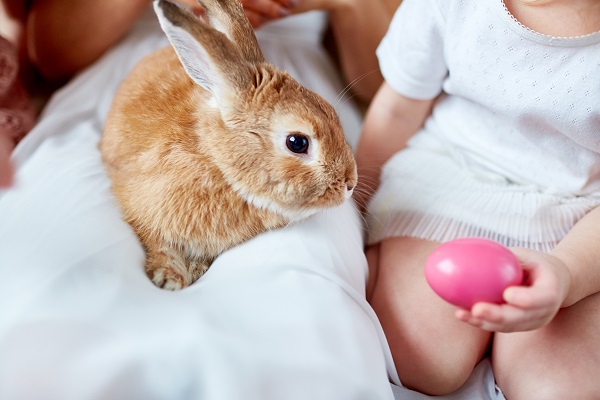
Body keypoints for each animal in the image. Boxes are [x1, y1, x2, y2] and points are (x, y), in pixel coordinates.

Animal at [99, 0, 356, 290]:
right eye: (297, 143)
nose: (350, 183)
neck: (218, 163)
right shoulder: (144, 213)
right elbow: (159, 246)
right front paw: (170, 279)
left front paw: (195, 269)